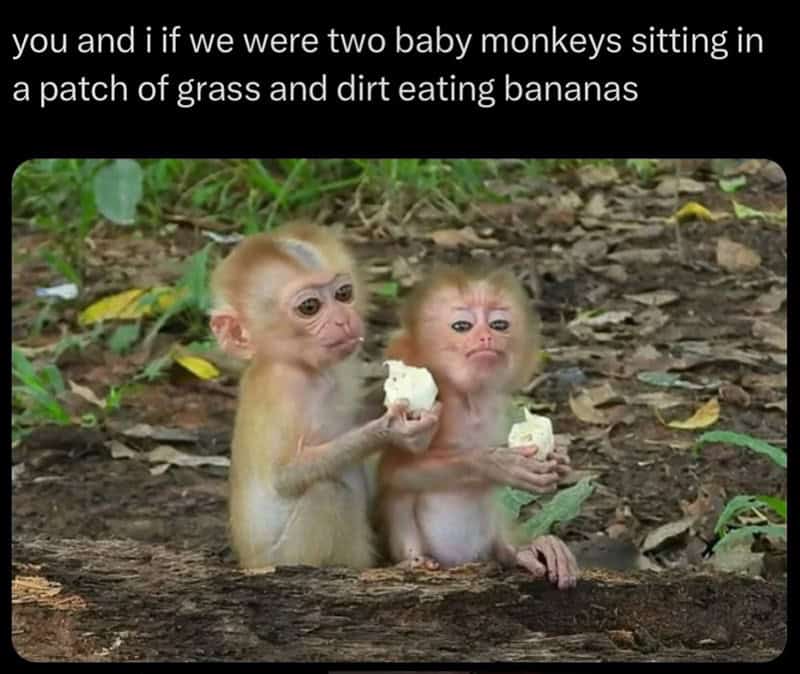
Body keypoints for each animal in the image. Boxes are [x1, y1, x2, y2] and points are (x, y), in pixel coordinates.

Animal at [209, 221, 440, 570]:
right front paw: (390, 430)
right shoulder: (283, 389)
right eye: (310, 307)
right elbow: (285, 478)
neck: (310, 371)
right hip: (289, 556)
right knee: (328, 494)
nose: (343, 320)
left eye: (343, 294)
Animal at [376, 264, 578, 589]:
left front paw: (559, 458)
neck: (468, 402)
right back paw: (413, 560)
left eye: (498, 324)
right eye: (462, 326)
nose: (486, 337)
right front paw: (496, 463)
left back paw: (523, 551)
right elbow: (394, 473)